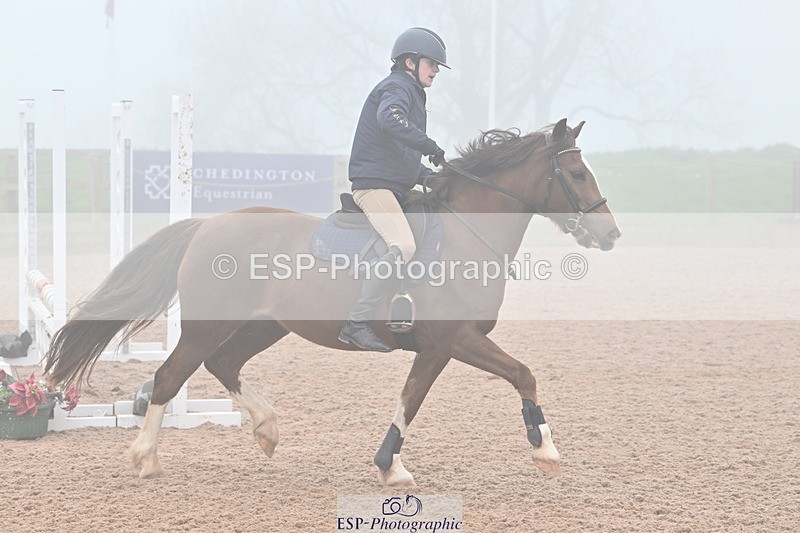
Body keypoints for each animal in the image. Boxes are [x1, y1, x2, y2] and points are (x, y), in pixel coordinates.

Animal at [44, 118, 620, 486]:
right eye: (575, 174)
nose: (611, 234)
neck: (466, 230)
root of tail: (206, 225)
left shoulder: (437, 348)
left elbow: (411, 401)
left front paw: (390, 466)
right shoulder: (455, 340)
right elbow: (521, 374)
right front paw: (545, 450)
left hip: (265, 325)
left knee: (223, 364)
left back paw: (267, 428)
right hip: (210, 324)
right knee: (169, 378)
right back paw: (146, 458)